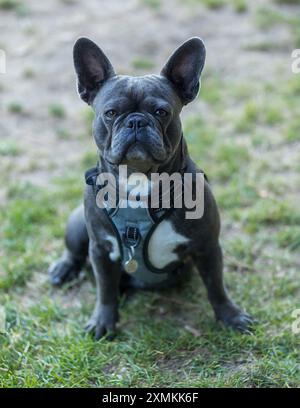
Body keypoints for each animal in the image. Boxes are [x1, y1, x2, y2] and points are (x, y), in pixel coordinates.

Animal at [48, 37, 253, 342]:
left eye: (161, 112)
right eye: (111, 113)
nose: (136, 121)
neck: (138, 186)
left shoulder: (207, 247)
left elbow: (216, 286)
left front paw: (231, 316)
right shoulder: (100, 251)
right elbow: (104, 290)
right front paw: (102, 322)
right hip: (76, 224)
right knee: (75, 253)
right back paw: (64, 269)